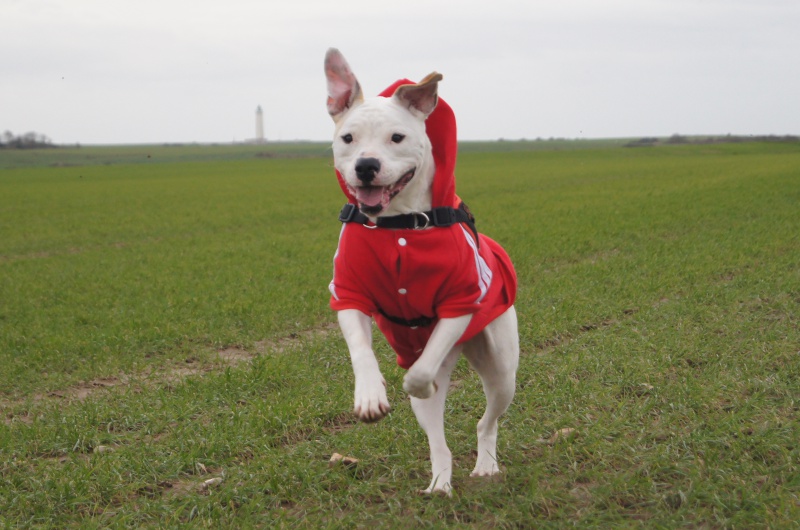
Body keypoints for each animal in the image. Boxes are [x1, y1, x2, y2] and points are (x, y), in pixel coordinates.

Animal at [324, 47, 520, 492]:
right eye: (348, 138)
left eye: (396, 137)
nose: (366, 165)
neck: (398, 225)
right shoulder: (348, 292)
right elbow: (360, 349)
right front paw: (370, 396)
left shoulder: (460, 300)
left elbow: (421, 371)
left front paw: (419, 376)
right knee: (438, 441)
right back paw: (439, 484)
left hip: (502, 370)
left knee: (487, 421)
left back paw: (485, 465)